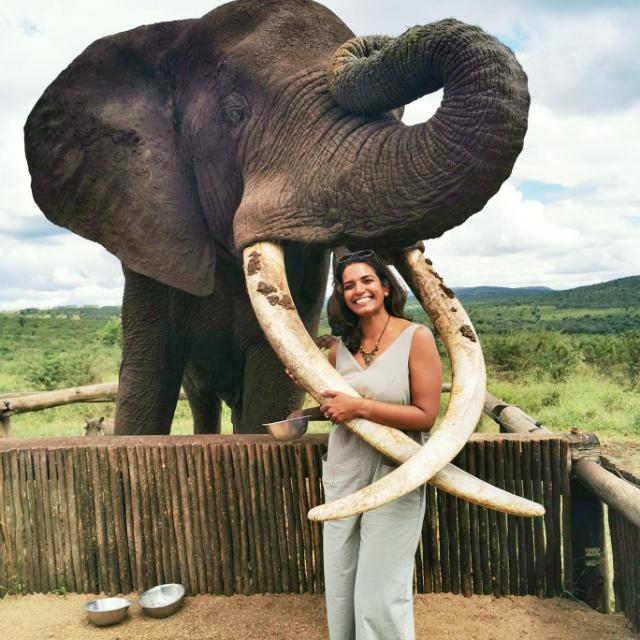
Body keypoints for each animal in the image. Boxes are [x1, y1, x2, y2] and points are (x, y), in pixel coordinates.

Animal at [26, 0, 544, 520]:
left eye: (397, 113)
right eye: (235, 113)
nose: (370, 47)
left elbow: (268, 382)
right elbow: (145, 383)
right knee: (201, 399)